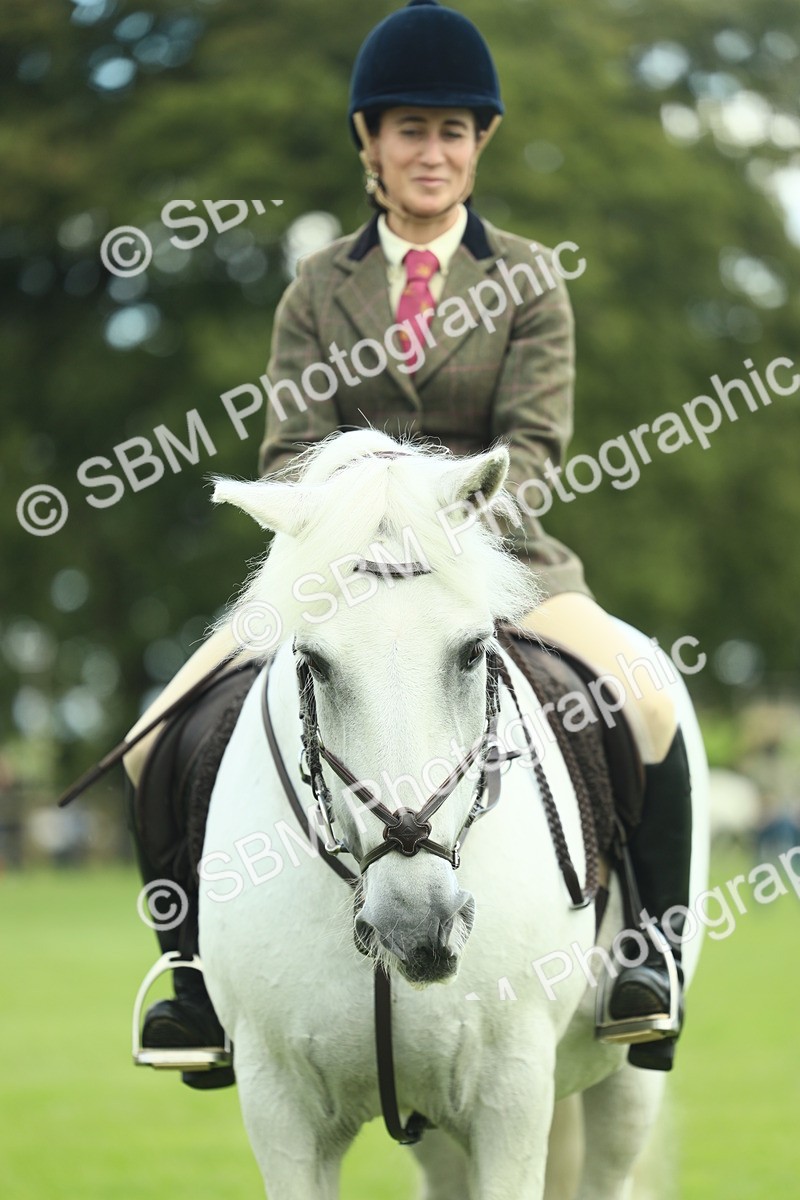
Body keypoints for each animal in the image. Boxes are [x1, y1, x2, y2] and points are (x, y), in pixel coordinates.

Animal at [198, 428, 709, 1200]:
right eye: (314, 662)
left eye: (473, 651)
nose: (417, 924)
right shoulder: (279, 1107)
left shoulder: (511, 1094)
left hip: (625, 1074)